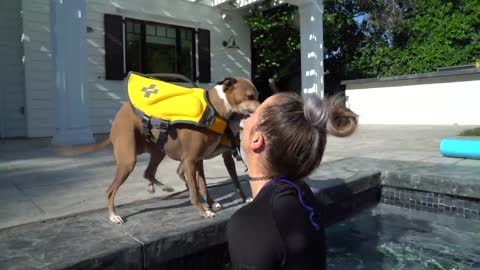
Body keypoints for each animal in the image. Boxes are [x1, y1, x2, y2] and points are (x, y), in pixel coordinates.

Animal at [64, 76, 260, 224]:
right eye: (250, 96)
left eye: (257, 95)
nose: (261, 109)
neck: (215, 110)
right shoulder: (191, 160)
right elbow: (196, 190)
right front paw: (204, 211)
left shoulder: (203, 159)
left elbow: (211, 184)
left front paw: (228, 201)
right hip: (128, 160)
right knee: (111, 190)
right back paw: (114, 216)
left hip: (158, 152)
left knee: (148, 172)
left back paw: (161, 187)